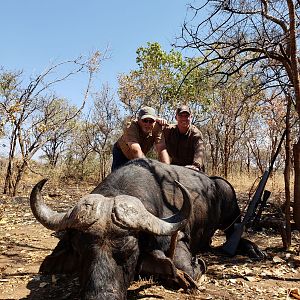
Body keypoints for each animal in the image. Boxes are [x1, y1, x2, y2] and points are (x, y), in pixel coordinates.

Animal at [29, 158, 264, 298]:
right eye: (80, 253)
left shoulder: (177, 239)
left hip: (230, 207)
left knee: (234, 229)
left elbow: (187, 269)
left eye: (130, 253)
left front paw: (199, 264)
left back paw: (254, 249)